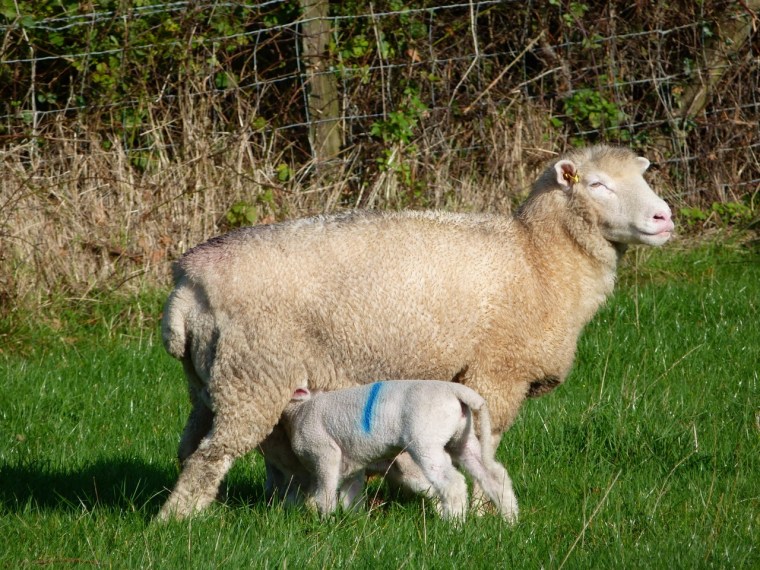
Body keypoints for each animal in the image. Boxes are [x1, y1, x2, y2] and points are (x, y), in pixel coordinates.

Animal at [278, 380, 518, 522]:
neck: (300, 409)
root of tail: (457, 391)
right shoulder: (352, 462)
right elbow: (350, 496)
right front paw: (352, 521)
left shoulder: (325, 453)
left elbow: (325, 493)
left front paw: (326, 522)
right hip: (463, 439)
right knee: (494, 476)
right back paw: (510, 519)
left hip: (427, 441)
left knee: (453, 483)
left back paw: (453, 524)